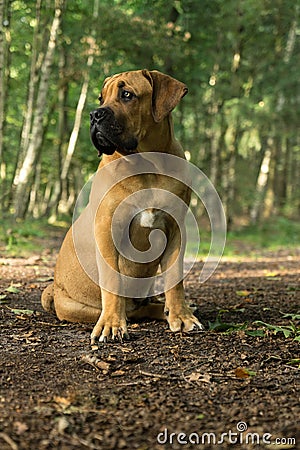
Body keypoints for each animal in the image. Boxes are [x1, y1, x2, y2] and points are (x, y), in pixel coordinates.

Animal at [41, 68, 203, 342]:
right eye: (100, 98)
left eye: (127, 94)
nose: (94, 114)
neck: (146, 164)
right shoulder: (108, 230)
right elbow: (112, 282)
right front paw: (111, 324)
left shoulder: (175, 229)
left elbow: (175, 278)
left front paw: (182, 316)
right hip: (75, 305)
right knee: (131, 310)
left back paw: (170, 309)